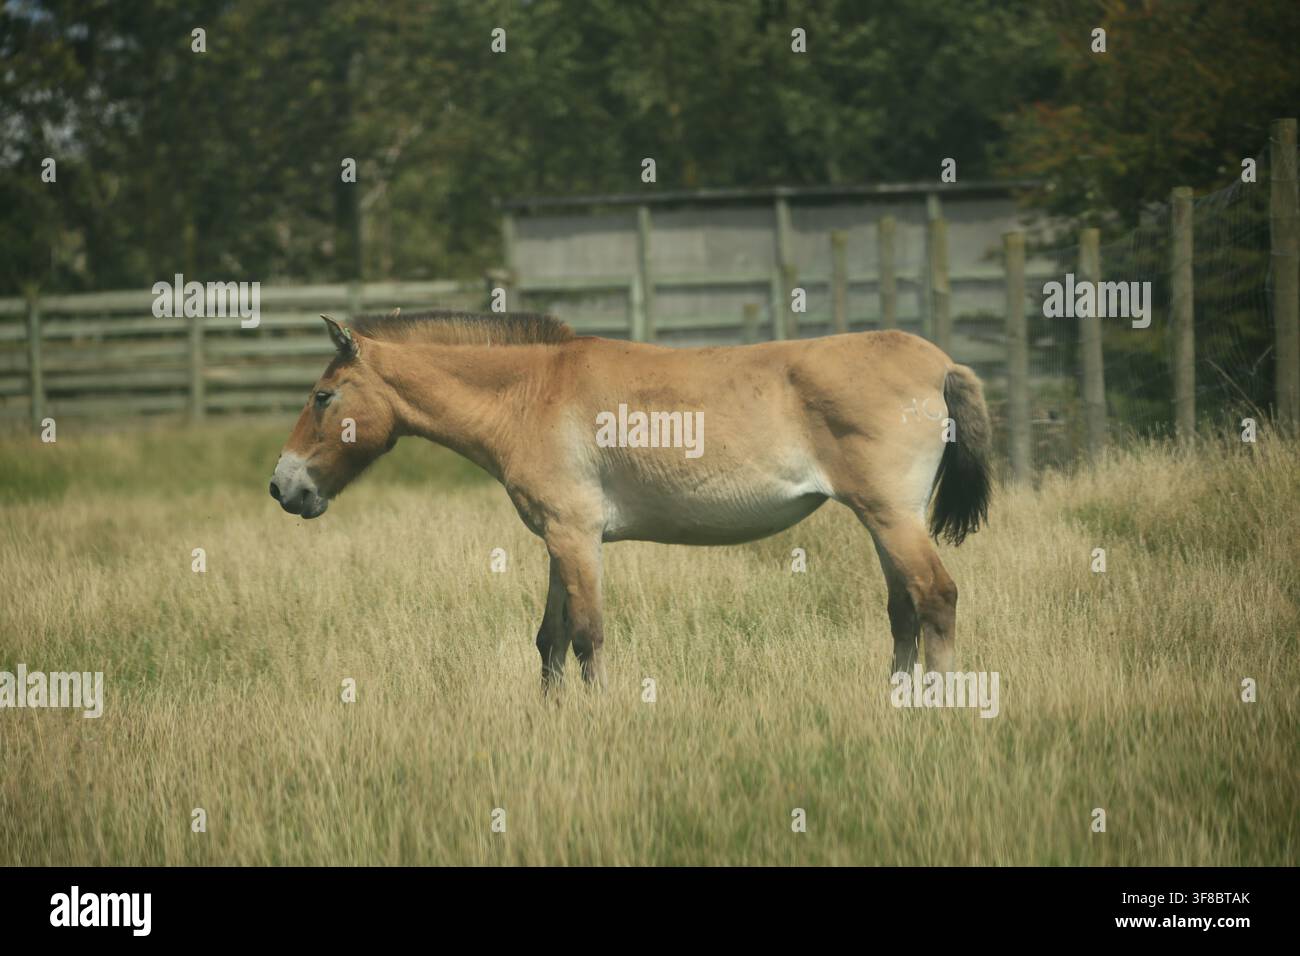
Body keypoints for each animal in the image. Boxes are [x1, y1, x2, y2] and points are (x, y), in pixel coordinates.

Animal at [270, 310, 992, 690]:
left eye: (322, 396)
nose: (283, 486)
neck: (530, 394)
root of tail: (940, 364)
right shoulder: (560, 540)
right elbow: (549, 640)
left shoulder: (575, 536)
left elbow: (587, 636)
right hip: (882, 521)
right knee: (904, 611)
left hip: (892, 518)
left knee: (935, 597)